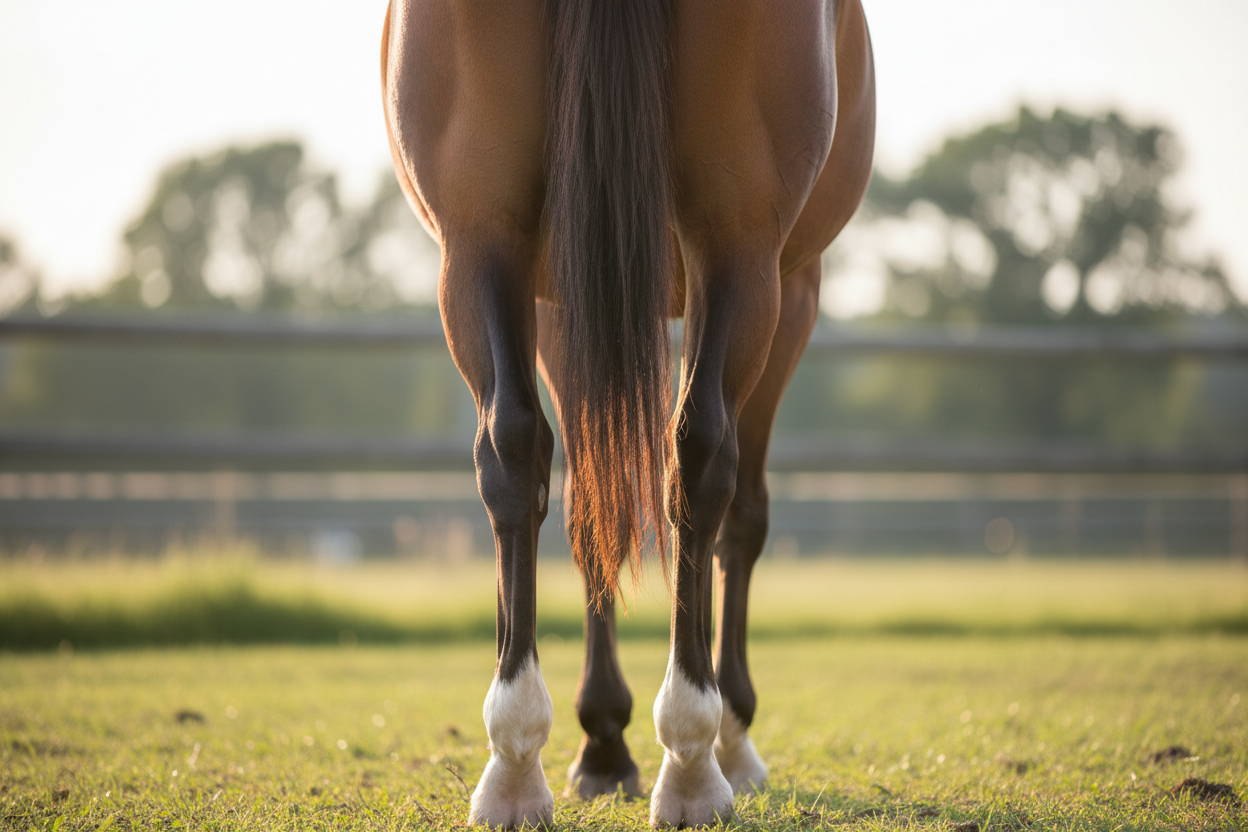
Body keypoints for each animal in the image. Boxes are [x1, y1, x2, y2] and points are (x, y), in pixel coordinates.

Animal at [381, 0, 874, 826]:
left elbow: (587, 492)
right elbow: (730, 513)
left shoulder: (562, 291)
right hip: (738, 250)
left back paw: (522, 763)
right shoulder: (795, 282)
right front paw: (724, 733)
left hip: (483, 234)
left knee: (520, 450)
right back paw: (690, 759)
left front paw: (605, 736)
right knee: (701, 458)